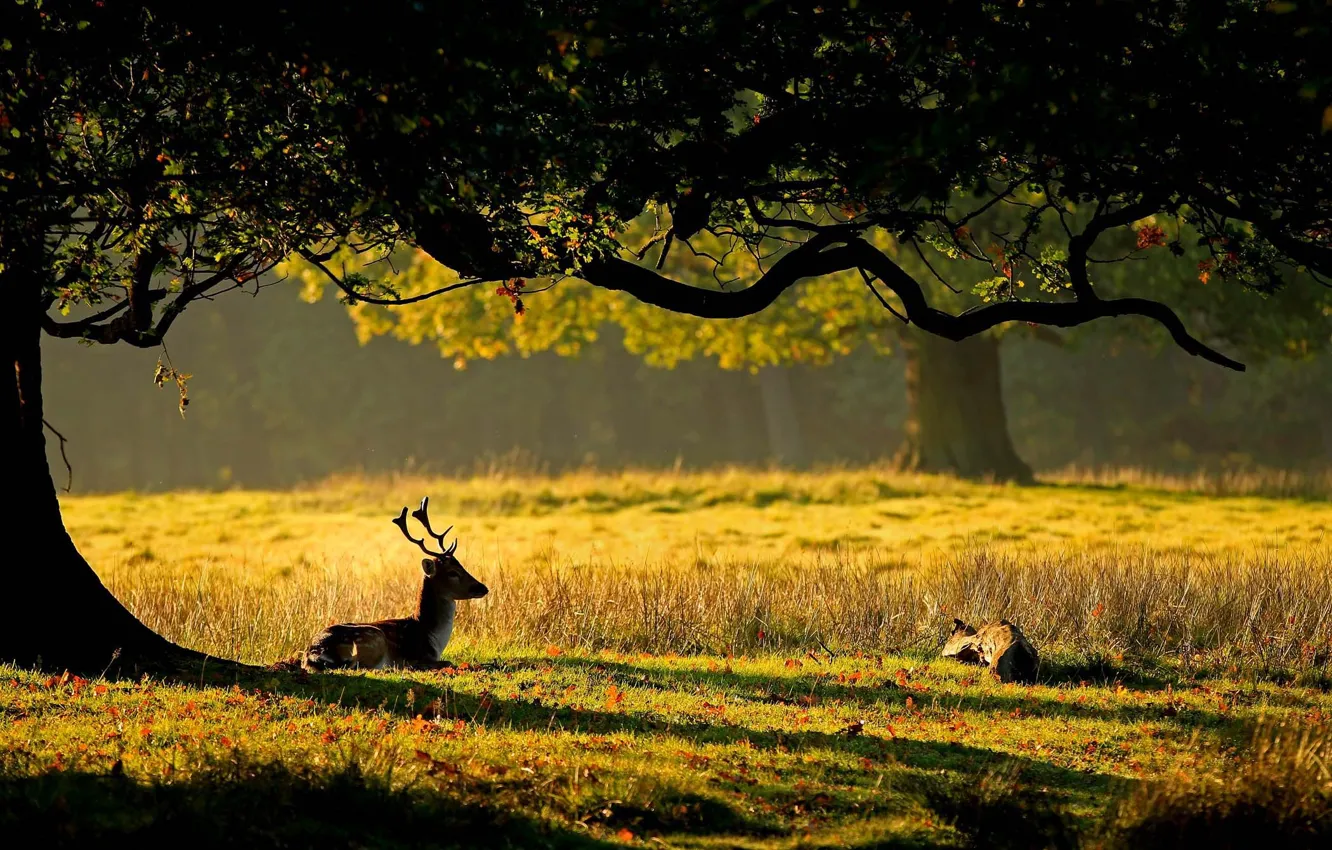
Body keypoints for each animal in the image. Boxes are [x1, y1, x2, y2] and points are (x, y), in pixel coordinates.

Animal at [301, 497, 488, 672]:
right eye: (452, 573)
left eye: (461, 565)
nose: (483, 588)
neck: (431, 637)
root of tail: (314, 654)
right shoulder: (417, 656)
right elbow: (447, 662)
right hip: (373, 638)